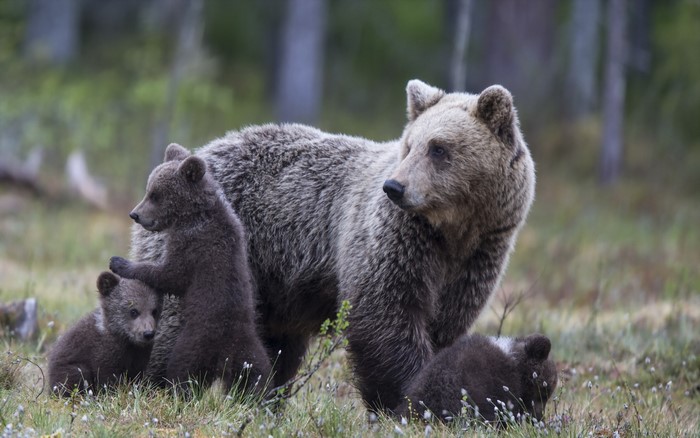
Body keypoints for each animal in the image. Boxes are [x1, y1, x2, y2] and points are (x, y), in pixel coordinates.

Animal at [109, 143, 272, 396]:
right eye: (149, 189)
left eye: (154, 194)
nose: (134, 214)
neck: (193, 214)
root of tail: (226, 356)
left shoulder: (193, 246)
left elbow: (170, 275)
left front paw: (120, 263)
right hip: (252, 352)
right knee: (259, 377)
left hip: (195, 342)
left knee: (182, 369)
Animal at [130, 79, 535, 411]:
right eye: (409, 145)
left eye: (438, 148)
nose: (395, 187)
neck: (452, 230)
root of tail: (197, 151)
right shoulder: (394, 243)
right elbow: (386, 316)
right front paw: (406, 398)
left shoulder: (475, 257)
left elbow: (444, 326)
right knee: (175, 317)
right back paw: (152, 384)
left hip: (275, 287)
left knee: (277, 346)